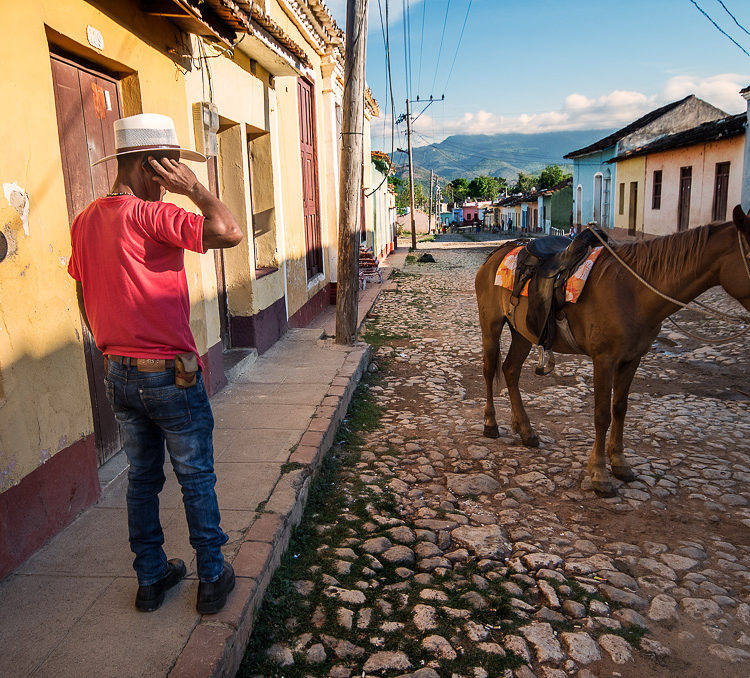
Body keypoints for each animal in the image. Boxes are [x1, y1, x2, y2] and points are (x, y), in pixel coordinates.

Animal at [476, 205, 750, 496]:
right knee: (490, 370)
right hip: (491, 325)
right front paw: (599, 475)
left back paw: (526, 430)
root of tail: (497, 253)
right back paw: (491, 424)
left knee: (511, 371)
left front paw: (620, 464)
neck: (633, 290)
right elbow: (601, 415)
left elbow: (620, 409)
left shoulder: (632, 359)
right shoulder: (604, 360)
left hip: (524, 333)